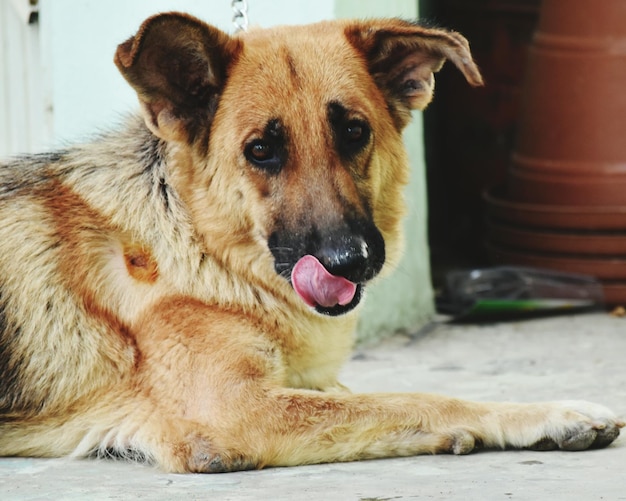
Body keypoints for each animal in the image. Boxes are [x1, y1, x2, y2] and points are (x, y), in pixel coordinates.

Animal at [0, 12, 620, 472]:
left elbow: (372, 398)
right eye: (260, 150)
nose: (352, 261)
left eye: (354, 131)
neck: (203, 246)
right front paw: (536, 416)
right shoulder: (237, 411)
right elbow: (411, 398)